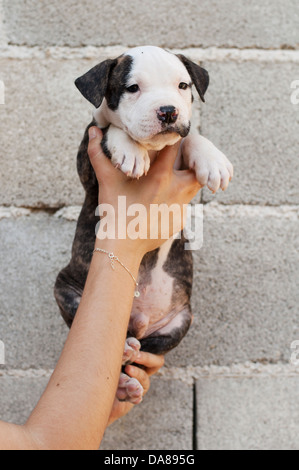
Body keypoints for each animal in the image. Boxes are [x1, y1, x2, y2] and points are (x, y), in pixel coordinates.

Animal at [55, 45, 234, 404]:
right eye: (132, 88)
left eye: (183, 86)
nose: (168, 111)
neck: (154, 149)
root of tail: (136, 321)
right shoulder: (88, 164)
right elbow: (111, 130)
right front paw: (129, 151)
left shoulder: (180, 144)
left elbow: (191, 136)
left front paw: (213, 160)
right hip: (66, 291)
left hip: (180, 320)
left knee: (143, 351)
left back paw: (130, 375)